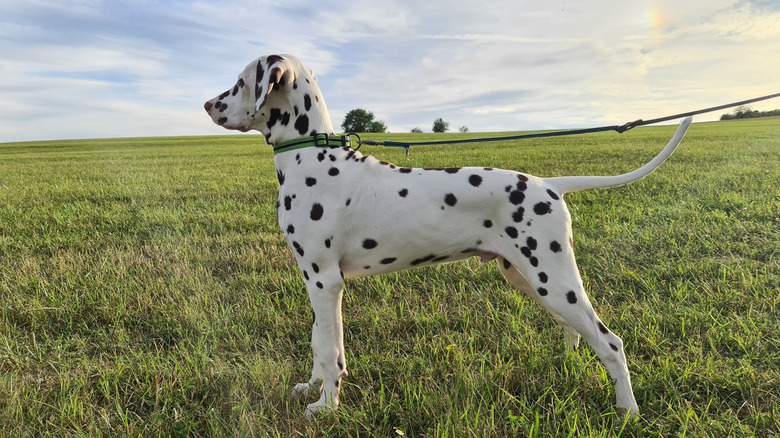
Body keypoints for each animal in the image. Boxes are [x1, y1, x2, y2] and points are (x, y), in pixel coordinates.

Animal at [204, 54, 692, 418]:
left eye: (240, 82)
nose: (208, 104)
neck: (313, 158)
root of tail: (551, 184)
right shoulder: (314, 280)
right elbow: (317, 343)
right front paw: (311, 389)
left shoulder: (326, 281)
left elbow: (330, 352)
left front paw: (325, 407)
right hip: (530, 278)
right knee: (575, 331)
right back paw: (567, 363)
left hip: (553, 279)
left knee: (610, 342)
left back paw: (628, 411)